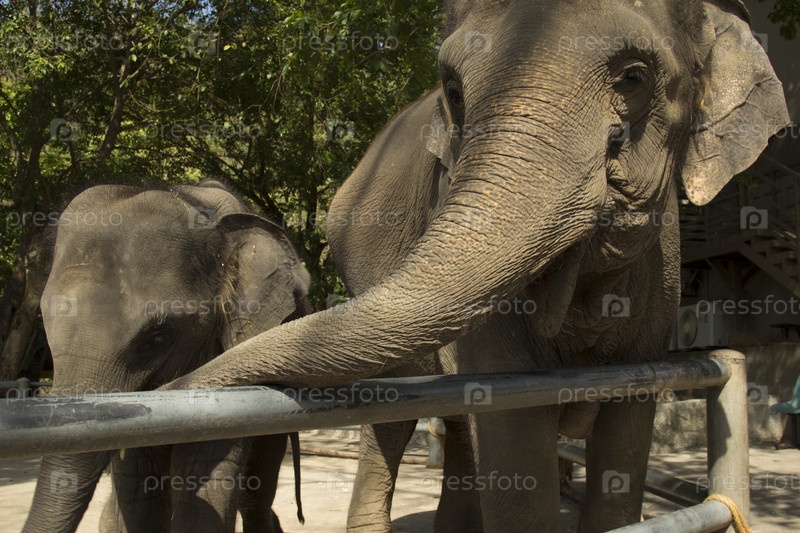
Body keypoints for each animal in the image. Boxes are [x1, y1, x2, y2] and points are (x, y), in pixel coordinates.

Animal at [163, 1, 791, 531]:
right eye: (455, 90)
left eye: (634, 76)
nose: (169, 391)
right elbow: (514, 428)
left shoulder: (661, 273)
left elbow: (626, 429)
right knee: (393, 420)